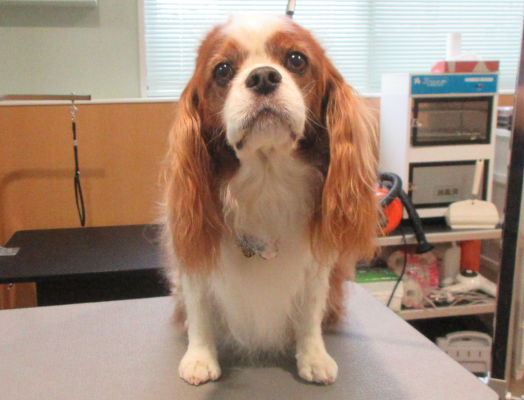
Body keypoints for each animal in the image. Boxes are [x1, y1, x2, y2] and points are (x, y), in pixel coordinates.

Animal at [162, 14, 379, 386]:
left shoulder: (315, 268)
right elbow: (199, 307)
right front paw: (200, 357)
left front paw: (313, 356)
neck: (267, 178)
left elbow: (309, 314)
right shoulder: (194, 260)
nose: (263, 76)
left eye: (296, 60)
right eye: (222, 70)